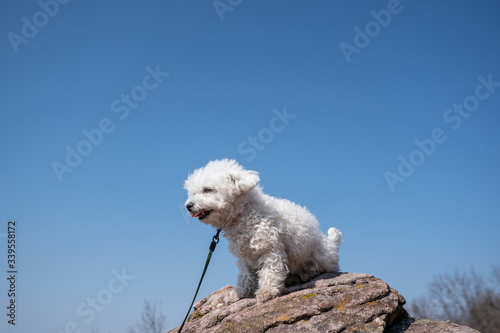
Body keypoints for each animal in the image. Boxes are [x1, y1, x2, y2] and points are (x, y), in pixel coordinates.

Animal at [185, 160, 344, 302]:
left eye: (207, 189)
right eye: (192, 193)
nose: (188, 205)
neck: (243, 213)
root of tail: (331, 243)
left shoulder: (270, 249)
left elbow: (270, 271)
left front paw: (267, 291)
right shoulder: (245, 255)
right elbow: (245, 276)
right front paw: (239, 294)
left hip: (321, 256)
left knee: (322, 267)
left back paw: (308, 273)